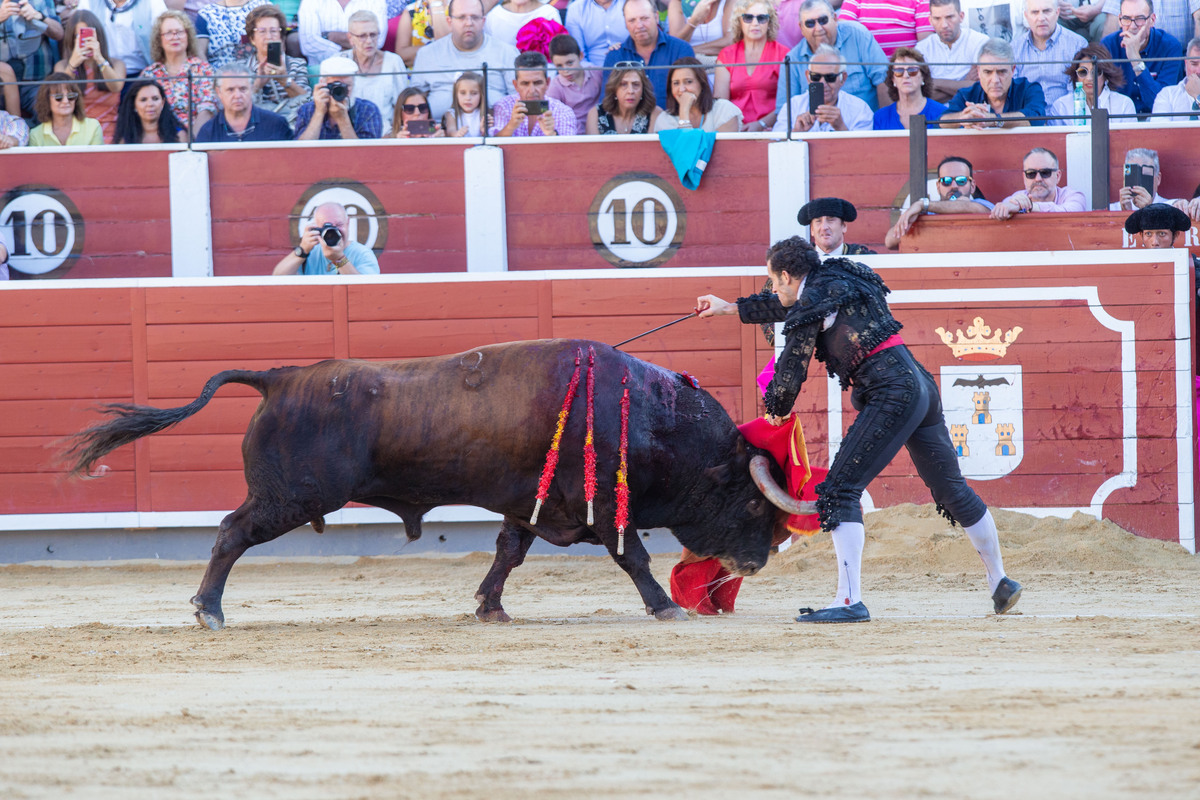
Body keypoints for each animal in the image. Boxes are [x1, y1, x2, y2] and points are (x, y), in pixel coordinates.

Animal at [68, 340, 816, 628]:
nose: (756, 562)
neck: (654, 419)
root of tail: (280, 377)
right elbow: (632, 556)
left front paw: (489, 607)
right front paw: (664, 606)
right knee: (229, 533)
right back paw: (209, 610)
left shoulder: (529, 504)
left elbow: (508, 554)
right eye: (750, 499)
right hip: (289, 498)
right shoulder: (607, 508)